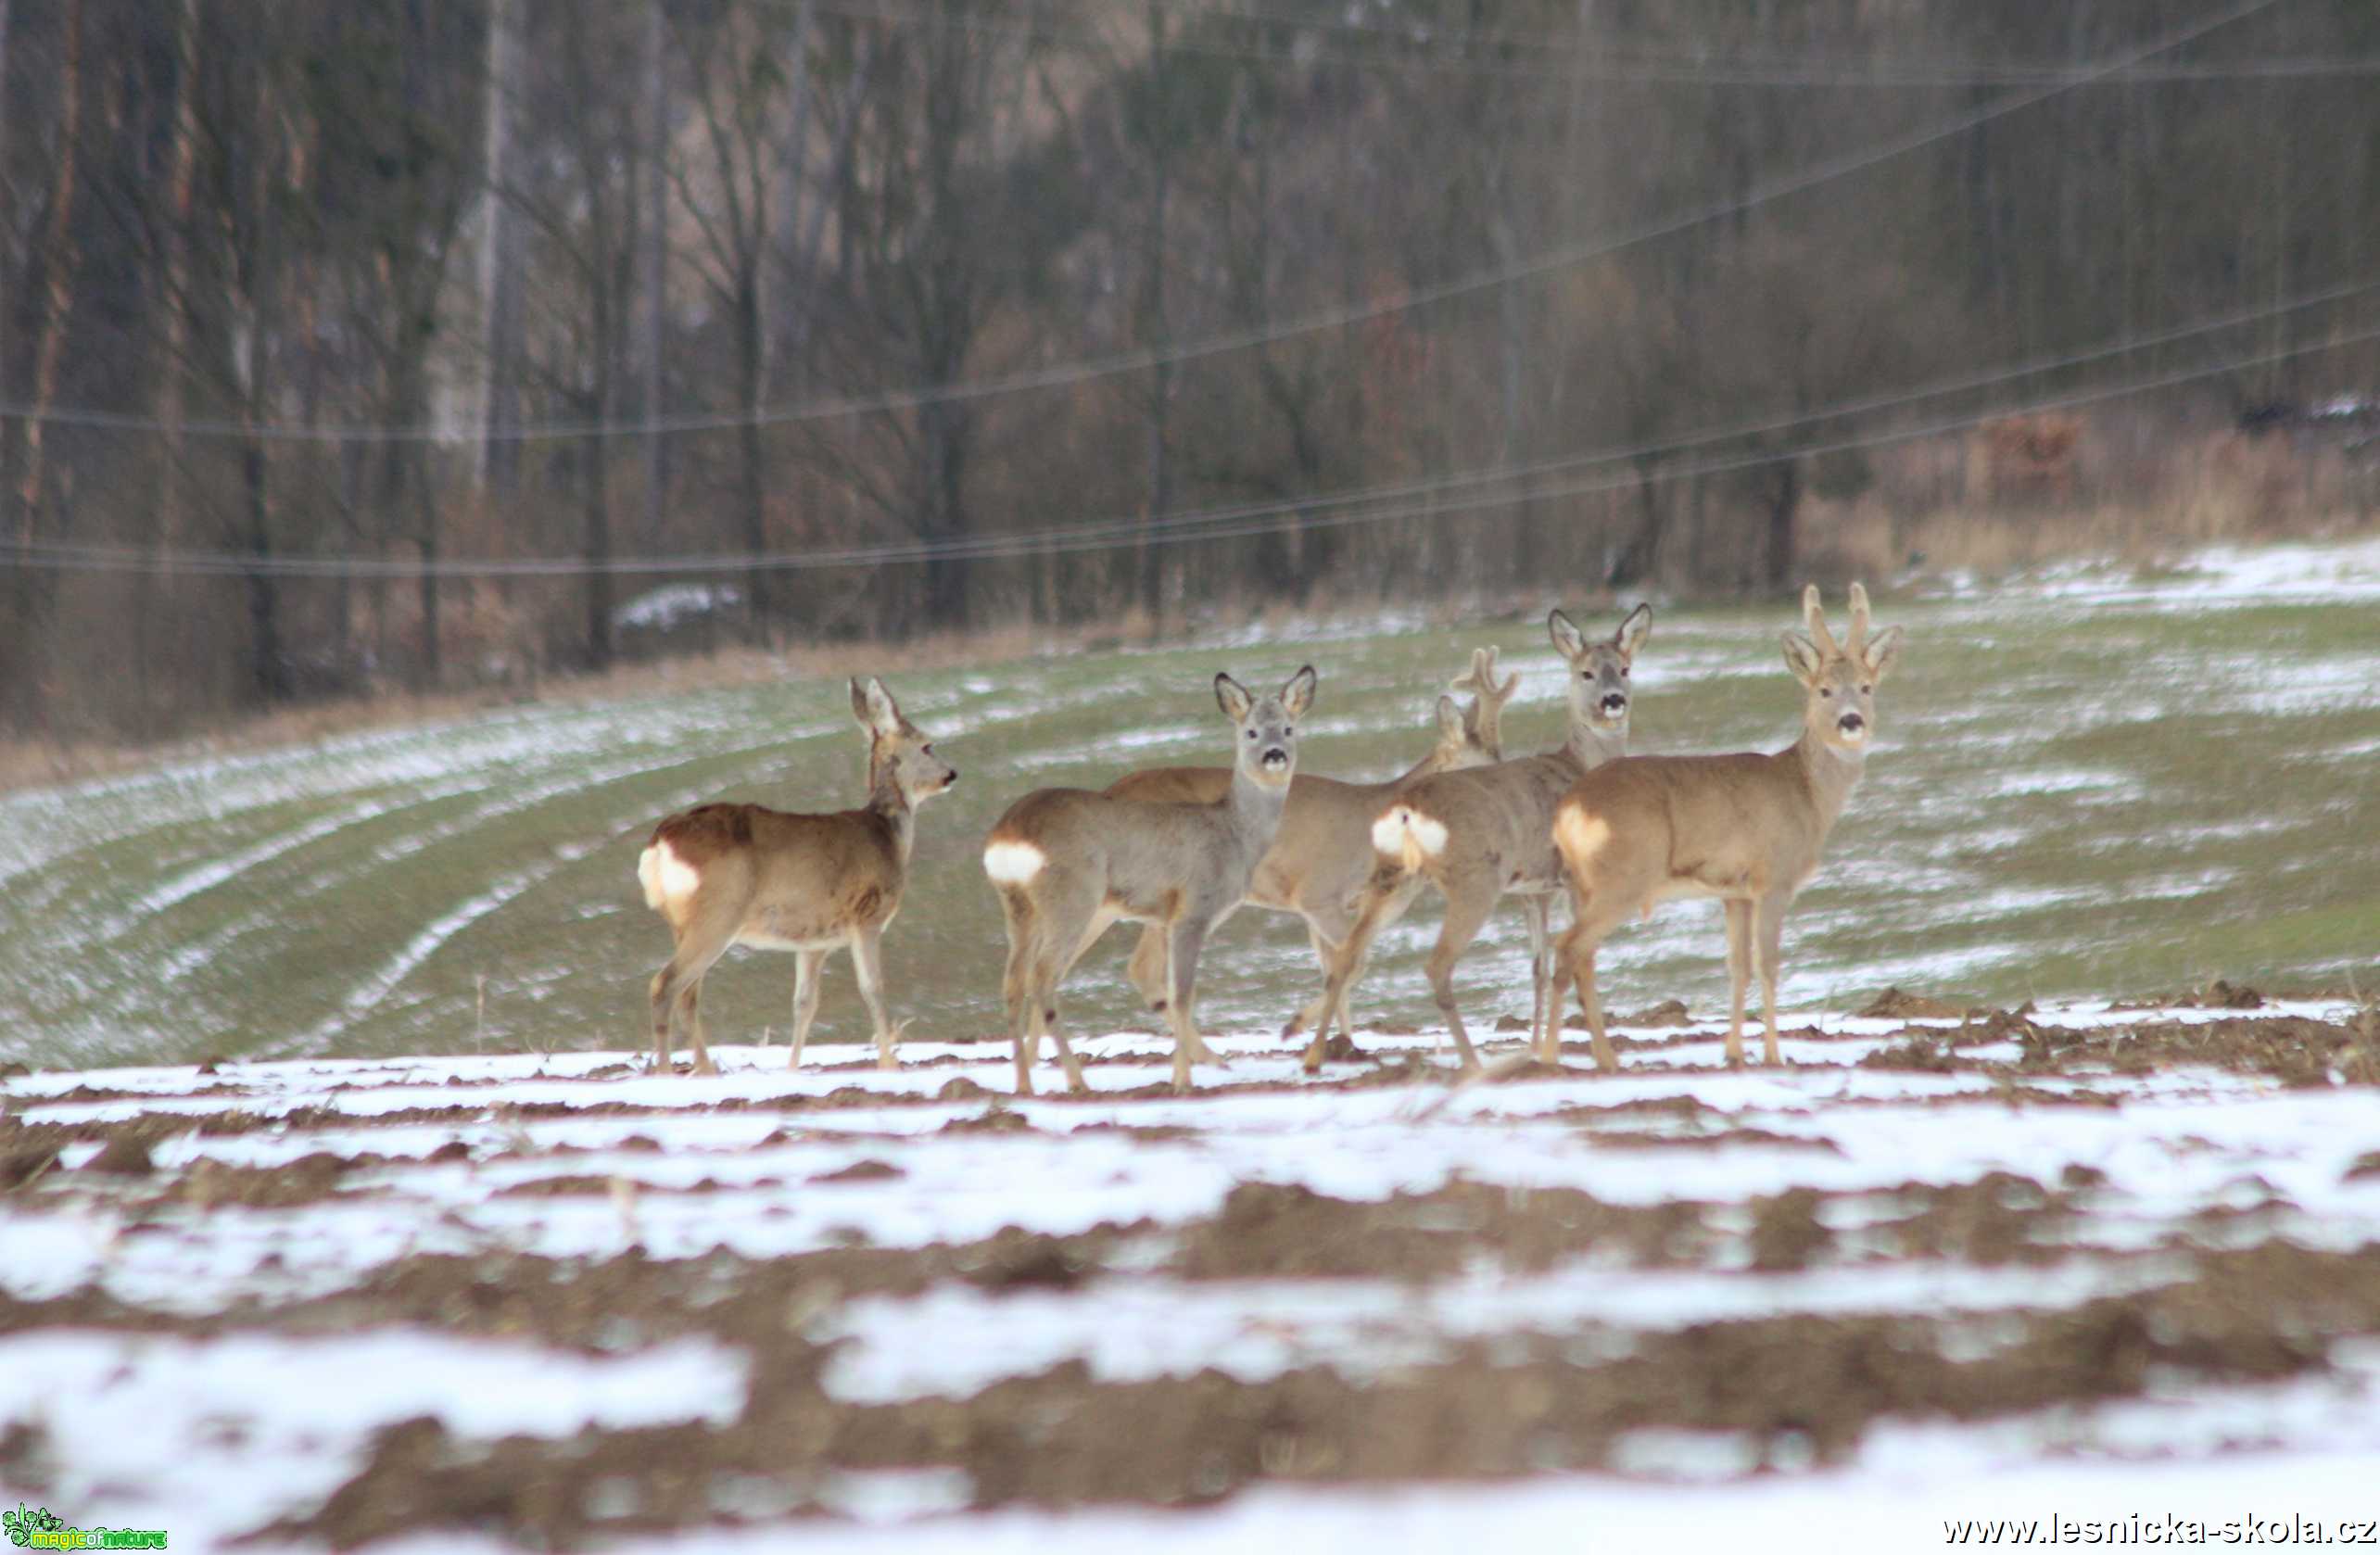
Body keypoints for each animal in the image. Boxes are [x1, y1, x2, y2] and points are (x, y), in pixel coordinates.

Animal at [642, 671, 966, 1071]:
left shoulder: (814, 940)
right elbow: (872, 988)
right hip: (717, 913)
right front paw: (889, 1064)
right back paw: (668, 1072)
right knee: (665, 985)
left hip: (683, 923)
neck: (887, 833)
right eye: (926, 745)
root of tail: (660, 840)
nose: (951, 774)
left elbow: (804, 1003)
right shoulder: (866, 916)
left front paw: (793, 1068)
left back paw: (705, 1072)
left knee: (688, 996)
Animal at [981, 662, 1323, 1090]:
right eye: (1251, 732)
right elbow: (1182, 995)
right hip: (1072, 896)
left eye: (1289, 729)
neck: (1233, 833)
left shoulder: (1164, 917)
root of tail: (1009, 833)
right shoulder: (1193, 909)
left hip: (1017, 904)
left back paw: (1024, 1085)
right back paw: (1078, 1082)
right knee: (1042, 977)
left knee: (1012, 982)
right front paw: (1183, 1080)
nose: (1275, 754)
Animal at [1099, 642, 1513, 1043]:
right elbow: (1351, 964)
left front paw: (1341, 1040)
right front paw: (1298, 1027)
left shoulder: (1367, 905)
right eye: (1482, 769)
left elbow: (1335, 968)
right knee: (1144, 967)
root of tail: (1109, 791)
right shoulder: (1319, 894)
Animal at [1285, 602, 1656, 1067]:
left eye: (1625, 668)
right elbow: (1578, 957)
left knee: (1346, 957)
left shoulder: (1534, 888)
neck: (1580, 766)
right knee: (1436, 964)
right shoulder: (1572, 878)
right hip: (1474, 878)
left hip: (1395, 880)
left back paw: (1315, 1056)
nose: (1613, 700)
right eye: (1585, 672)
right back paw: (1472, 1063)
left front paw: (1538, 1051)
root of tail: (1408, 809)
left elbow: (1540, 966)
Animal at [1542, 581, 1913, 1067]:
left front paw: (1734, 1052)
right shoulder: (1774, 877)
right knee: (1569, 947)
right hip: (1624, 874)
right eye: (1824, 690)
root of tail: (1570, 808)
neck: (1806, 793)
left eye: (1866, 687)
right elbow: (1768, 965)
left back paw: (1602, 1059)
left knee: (1582, 956)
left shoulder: (1734, 892)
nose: (1851, 720)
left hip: (1584, 884)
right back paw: (1551, 1057)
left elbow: (1737, 966)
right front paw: (1774, 1055)